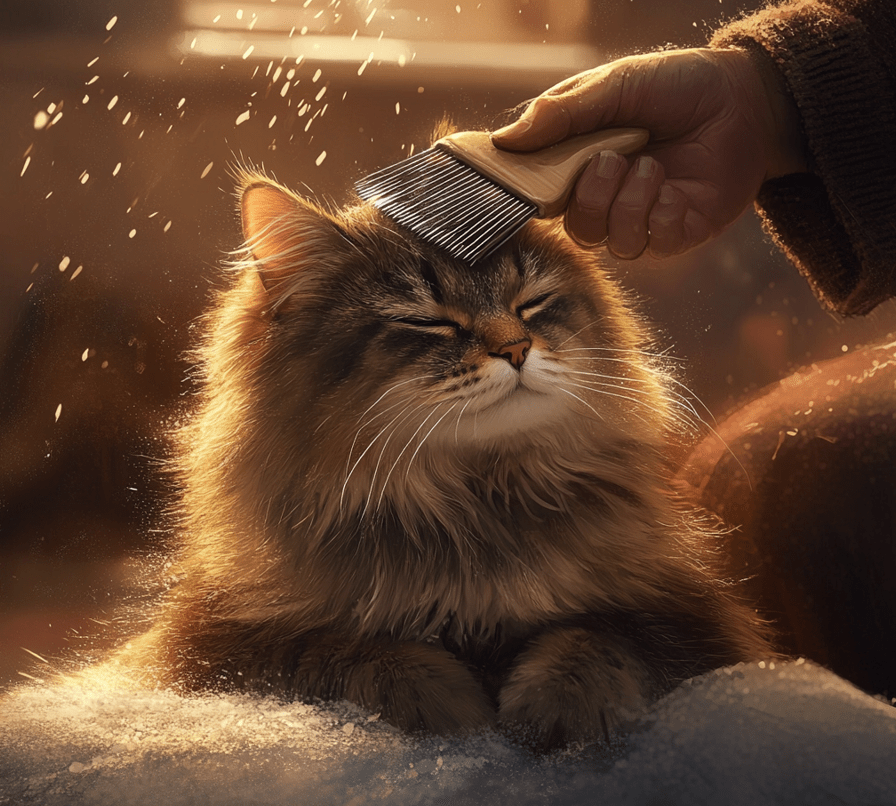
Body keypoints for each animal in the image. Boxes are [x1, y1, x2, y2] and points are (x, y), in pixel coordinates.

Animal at [119, 164, 772, 752]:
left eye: (532, 303)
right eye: (427, 321)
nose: (516, 349)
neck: (472, 504)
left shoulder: (692, 615)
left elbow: (598, 639)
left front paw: (556, 712)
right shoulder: (208, 643)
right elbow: (343, 650)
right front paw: (449, 705)